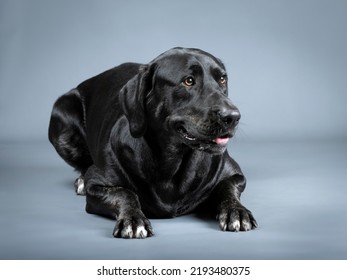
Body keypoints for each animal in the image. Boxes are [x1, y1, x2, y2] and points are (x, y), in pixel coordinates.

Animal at [48, 47, 258, 238]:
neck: (174, 163)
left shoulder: (235, 174)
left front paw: (236, 212)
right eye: (188, 81)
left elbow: (227, 187)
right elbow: (124, 193)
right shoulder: (97, 183)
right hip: (62, 114)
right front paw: (133, 219)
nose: (233, 117)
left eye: (222, 79)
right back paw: (81, 180)